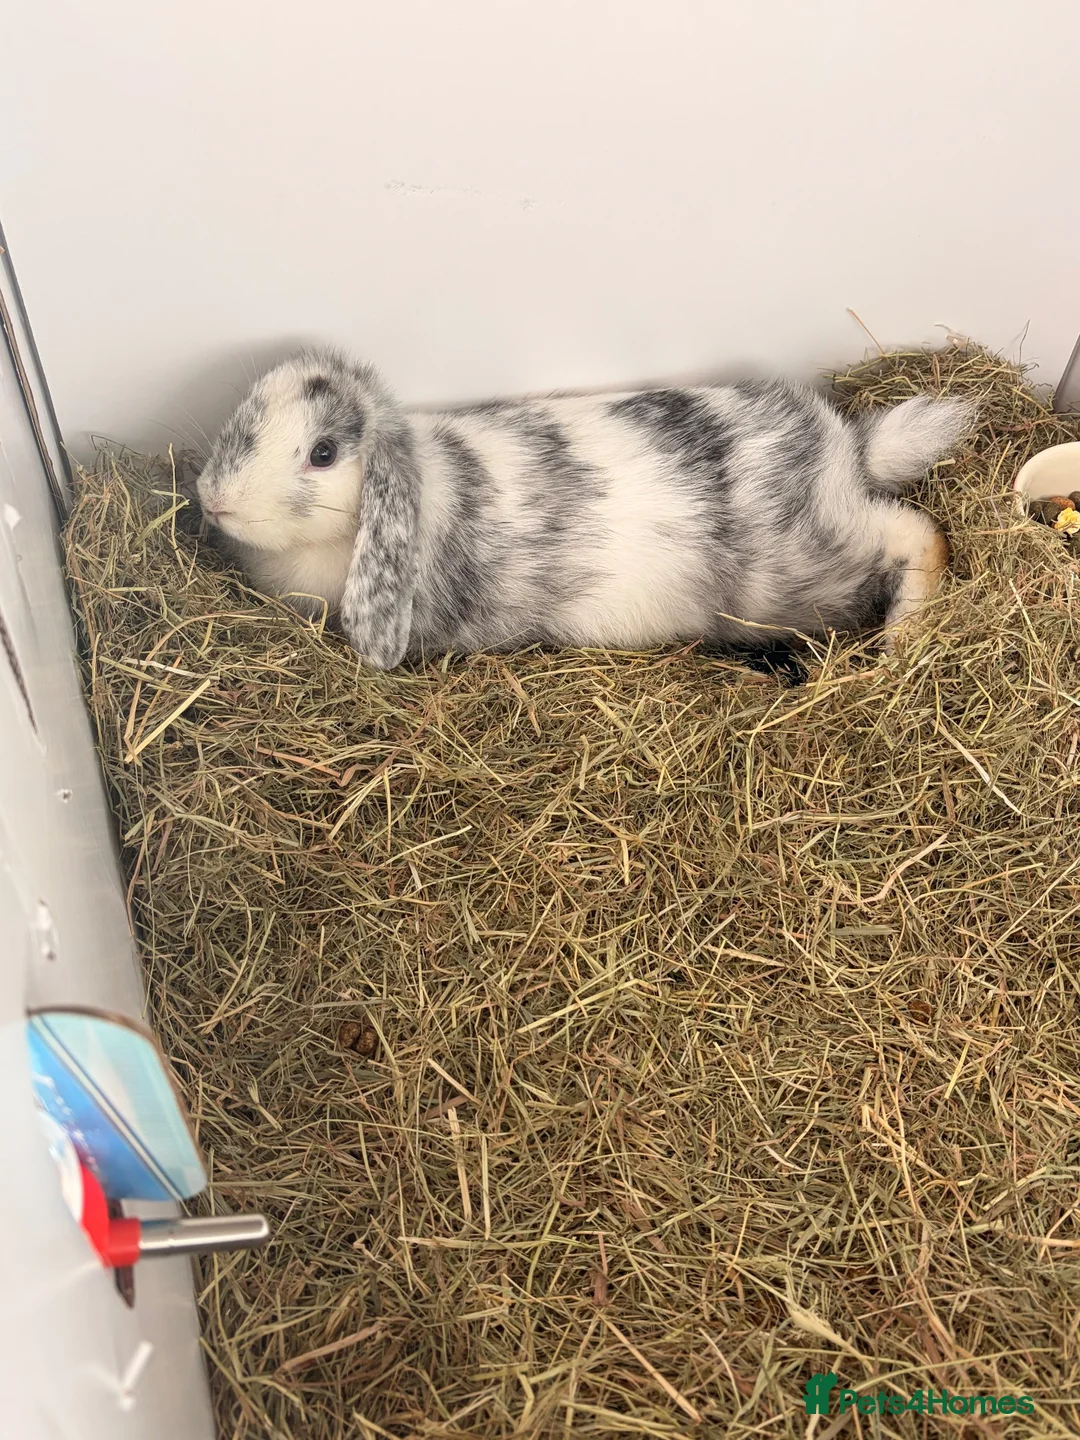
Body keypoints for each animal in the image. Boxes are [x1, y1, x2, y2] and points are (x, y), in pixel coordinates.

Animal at [195, 347, 971, 671]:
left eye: (323, 453)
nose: (213, 500)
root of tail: (848, 448)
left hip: (804, 575)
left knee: (918, 531)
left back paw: (901, 637)